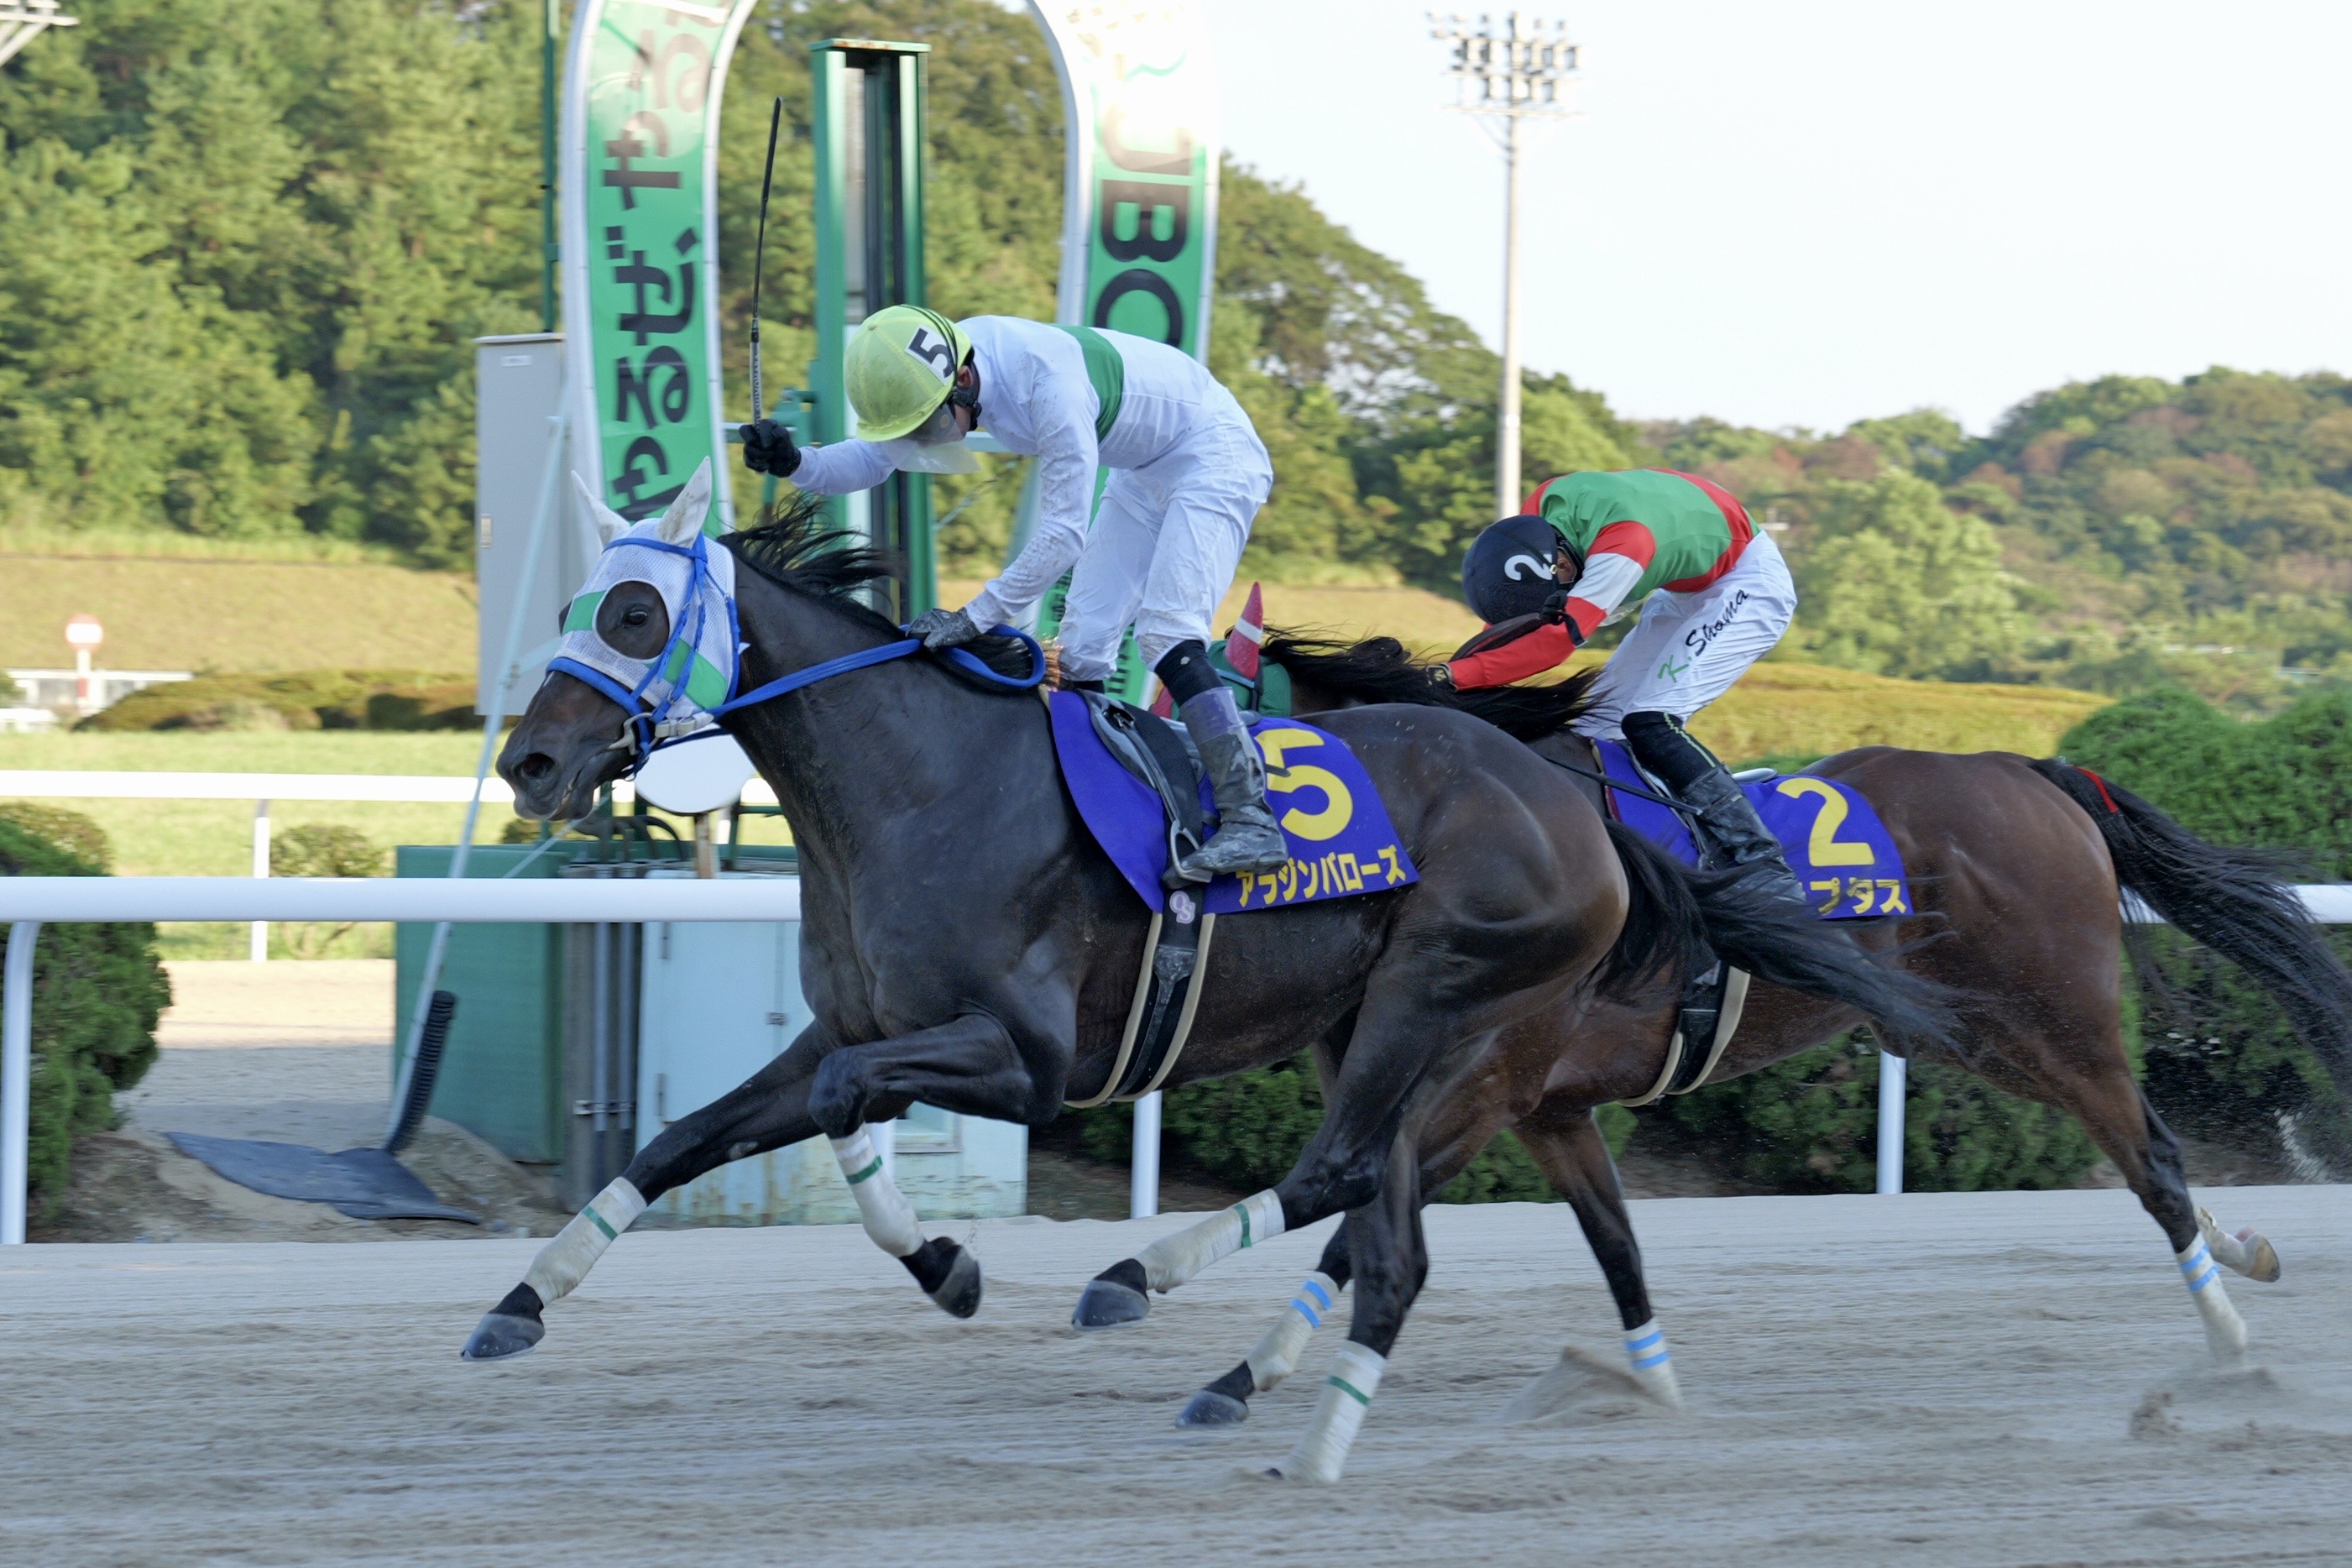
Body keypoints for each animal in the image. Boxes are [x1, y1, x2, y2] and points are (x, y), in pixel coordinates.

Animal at [453, 500, 1947, 1485]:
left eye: (635, 613)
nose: (530, 762)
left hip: (1438, 995)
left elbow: (834, 1104)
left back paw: (1154, 1293)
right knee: (1387, 1226)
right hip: (1389, 1027)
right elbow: (688, 1135)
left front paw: (950, 1265)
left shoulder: (1029, 1058)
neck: (918, 782)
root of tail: (1575, 799)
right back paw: (1282, 1403)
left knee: (1340, 1171)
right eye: (580, 604)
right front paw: (520, 1302)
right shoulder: (861, 1020)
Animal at [1176, 639, 2352, 1438]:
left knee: (2152, 1154)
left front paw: (1239, 1370)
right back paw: (2247, 1248)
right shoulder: (1549, 1104)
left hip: (2059, 1015)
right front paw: (1241, 1374)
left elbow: (1357, 1209)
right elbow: (1597, 1237)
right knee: (2137, 1144)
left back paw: (2230, 1353)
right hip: (1969, 1034)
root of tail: (2030, 768)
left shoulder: (1491, 1080)